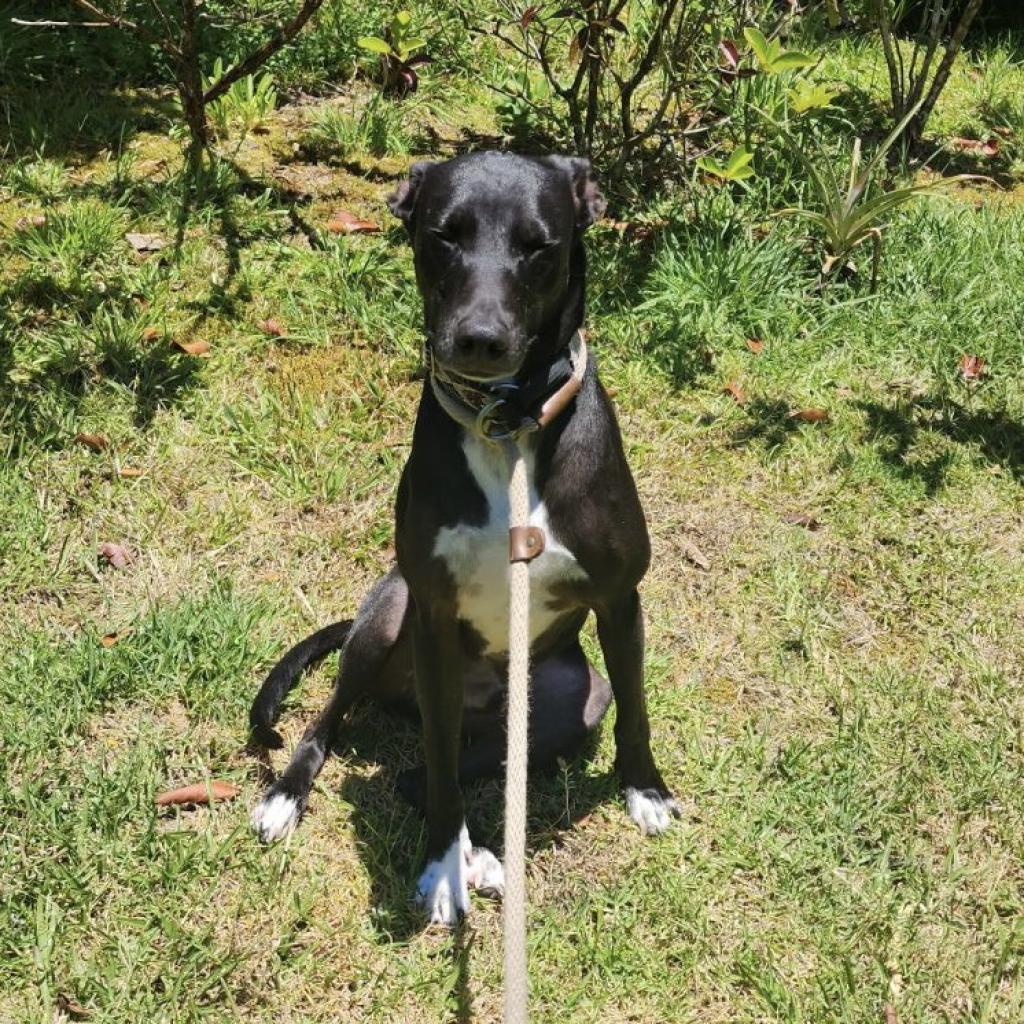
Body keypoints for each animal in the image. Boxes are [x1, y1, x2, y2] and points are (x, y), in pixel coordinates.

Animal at [249, 151, 679, 929]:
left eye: (539, 246)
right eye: (443, 235)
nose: (480, 338)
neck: (507, 427)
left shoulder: (621, 600)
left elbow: (636, 708)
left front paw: (645, 789)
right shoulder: (434, 617)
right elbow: (441, 773)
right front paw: (445, 862)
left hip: (572, 699)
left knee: (448, 764)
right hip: (388, 623)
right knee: (346, 725)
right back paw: (291, 796)